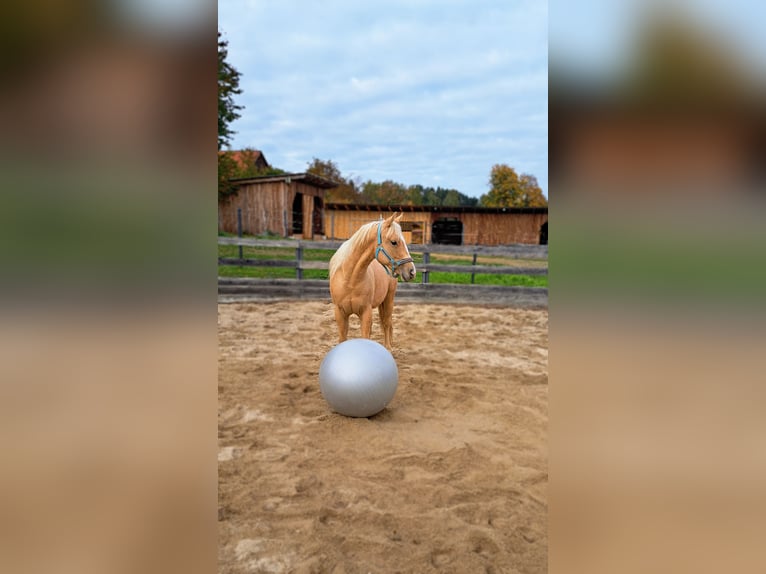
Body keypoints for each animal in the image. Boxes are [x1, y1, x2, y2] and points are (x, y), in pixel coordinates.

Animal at [329, 212, 417, 349]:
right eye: (394, 242)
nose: (412, 271)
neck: (350, 280)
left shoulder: (366, 313)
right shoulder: (340, 313)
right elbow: (343, 338)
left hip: (389, 299)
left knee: (387, 323)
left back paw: (388, 347)